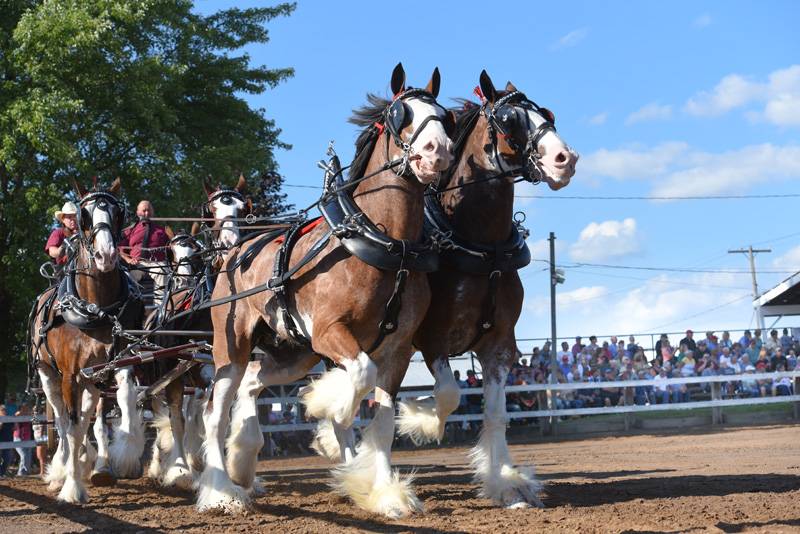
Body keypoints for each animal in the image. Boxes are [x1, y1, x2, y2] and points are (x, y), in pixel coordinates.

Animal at [28, 179, 145, 502]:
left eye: (118, 213)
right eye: (85, 214)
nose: (106, 255)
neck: (97, 309)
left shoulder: (120, 362)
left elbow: (125, 401)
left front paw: (125, 450)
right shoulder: (69, 374)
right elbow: (69, 425)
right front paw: (71, 486)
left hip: (92, 379)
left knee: (85, 418)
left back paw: (87, 461)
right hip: (48, 374)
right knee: (62, 419)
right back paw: (62, 468)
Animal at [197, 63, 454, 520]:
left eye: (444, 115)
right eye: (399, 114)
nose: (437, 150)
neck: (384, 246)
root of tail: (232, 253)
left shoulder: (398, 350)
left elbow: (382, 421)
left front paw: (384, 493)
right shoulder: (330, 332)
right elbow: (359, 379)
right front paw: (327, 409)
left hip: (293, 353)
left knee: (252, 383)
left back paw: (243, 461)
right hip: (232, 346)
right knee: (215, 411)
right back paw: (220, 491)